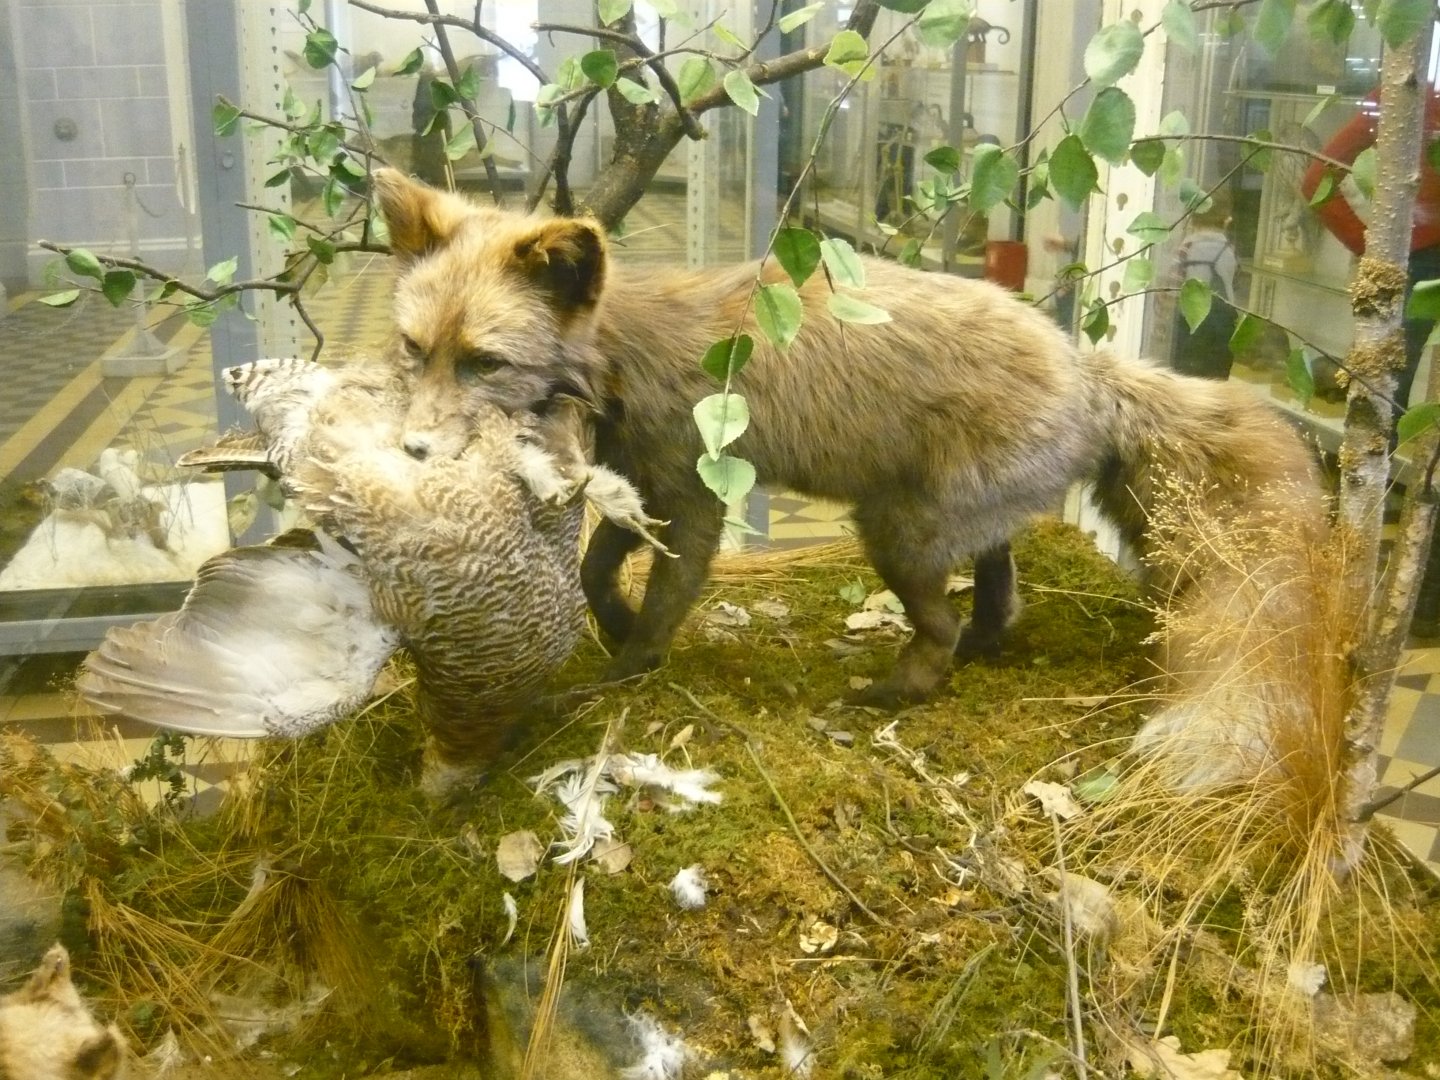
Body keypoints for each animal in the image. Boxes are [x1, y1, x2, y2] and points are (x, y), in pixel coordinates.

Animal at [369, 167, 1323, 706]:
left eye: (484, 363)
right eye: (414, 350)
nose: (409, 452)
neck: (619, 359)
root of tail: (1086, 367)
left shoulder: (695, 497)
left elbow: (662, 598)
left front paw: (628, 665)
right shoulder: (645, 485)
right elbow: (600, 568)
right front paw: (615, 622)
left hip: (892, 532)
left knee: (941, 627)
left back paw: (898, 693)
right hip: (948, 525)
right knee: (999, 582)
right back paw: (985, 644)